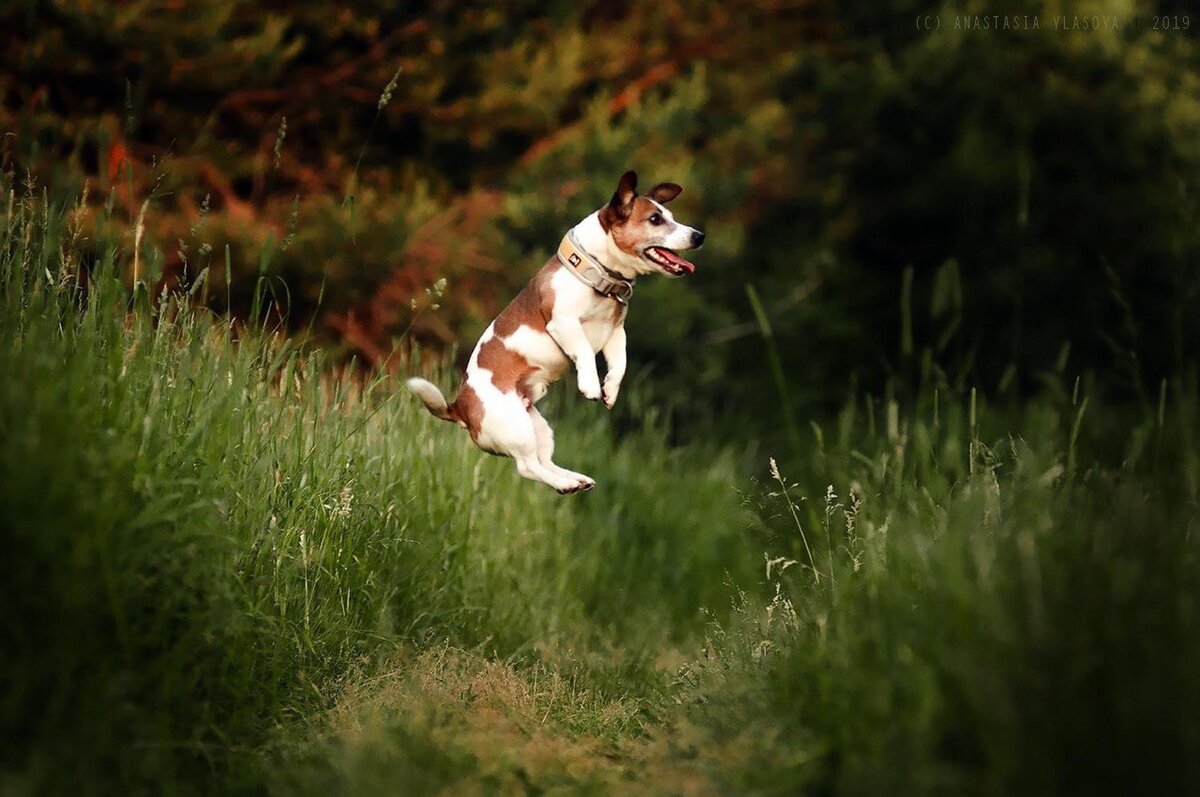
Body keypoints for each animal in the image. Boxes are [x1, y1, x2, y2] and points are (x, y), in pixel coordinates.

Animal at [408, 169, 700, 492]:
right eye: (655, 219)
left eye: (670, 216)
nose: (698, 236)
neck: (596, 273)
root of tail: (459, 407)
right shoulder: (563, 323)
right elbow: (584, 351)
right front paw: (591, 385)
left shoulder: (615, 333)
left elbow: (620, 364)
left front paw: (609, 390)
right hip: (516, 427)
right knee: (527, 467)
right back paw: (567, 484)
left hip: (538, 427)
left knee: (543, 461)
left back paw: (574, 480)